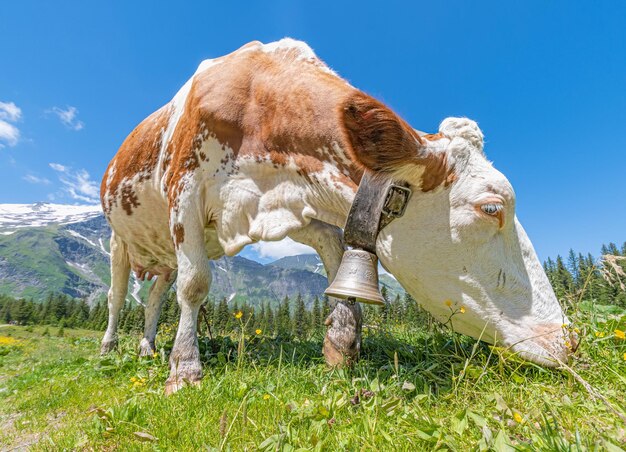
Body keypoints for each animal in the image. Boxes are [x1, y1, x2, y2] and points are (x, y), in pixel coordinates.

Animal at [100, 38, 572, 392]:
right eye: (491, 208)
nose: (568, 338)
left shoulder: (293, 207)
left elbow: (335, 248)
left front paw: (342, 340)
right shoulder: (185, 191)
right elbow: (195, 283)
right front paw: (184, 369)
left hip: (161, 255)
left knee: (155, 297)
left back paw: (147, 347)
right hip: (120, 240)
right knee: (117, 297)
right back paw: (109, 348)